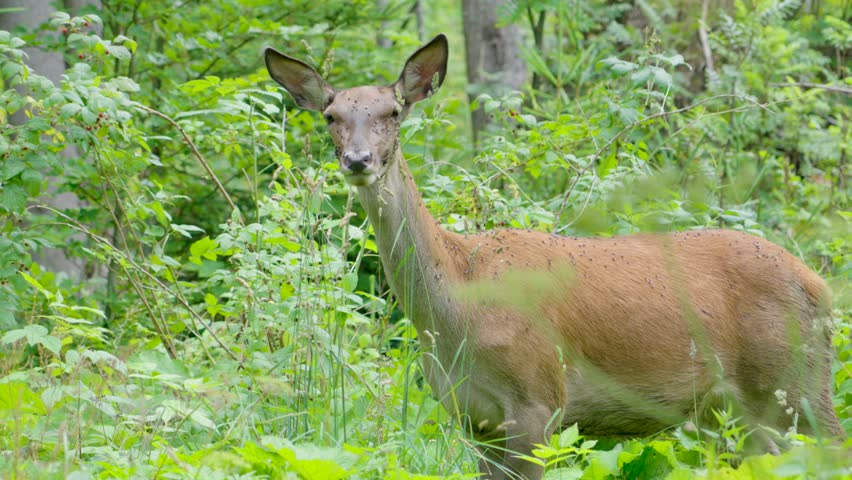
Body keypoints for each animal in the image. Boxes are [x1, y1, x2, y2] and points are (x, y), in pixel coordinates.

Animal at [264, 34, 844, 479]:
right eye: (331, 115)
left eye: (393, 111)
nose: (358, 160)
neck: (457, 303)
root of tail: (820, 286)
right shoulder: (473, 418)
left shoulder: (539, 399)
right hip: (736, 415)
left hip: (796, 383)